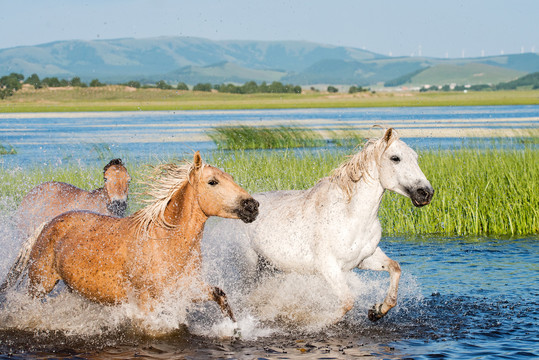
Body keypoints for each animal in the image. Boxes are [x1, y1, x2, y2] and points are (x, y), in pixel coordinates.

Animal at [2, 152, 260, 330]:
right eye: (213, 182)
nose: (252, 206)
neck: (164, 242)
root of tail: (47, 224)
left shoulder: (185, 288)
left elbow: (220, 295)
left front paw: (235, 329)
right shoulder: (146, 302)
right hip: (40, 283)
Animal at [207, 128, 434, 322]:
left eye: (415, 158)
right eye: (395, 158)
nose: (426, 193)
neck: (351, 216)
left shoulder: (363, 259)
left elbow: (395, 268)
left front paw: (376, 311)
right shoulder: (329, 267)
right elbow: (346, 303)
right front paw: (313, 322)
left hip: (268, 267)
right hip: (248, 267)